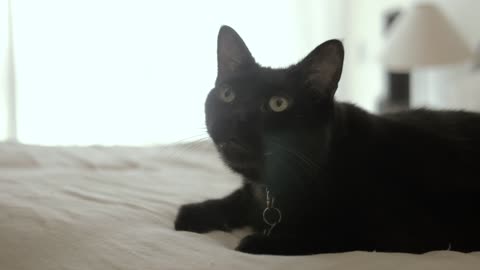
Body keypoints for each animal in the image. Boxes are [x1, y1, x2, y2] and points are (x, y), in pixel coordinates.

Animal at [174, 25, 480, 255]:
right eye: (228, 95)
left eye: (278, 103)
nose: (236, 118)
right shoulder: (253, 193)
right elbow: (237, 199)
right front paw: (195, 212)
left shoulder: (398, 233)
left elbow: (328, 233)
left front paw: (260, 241)